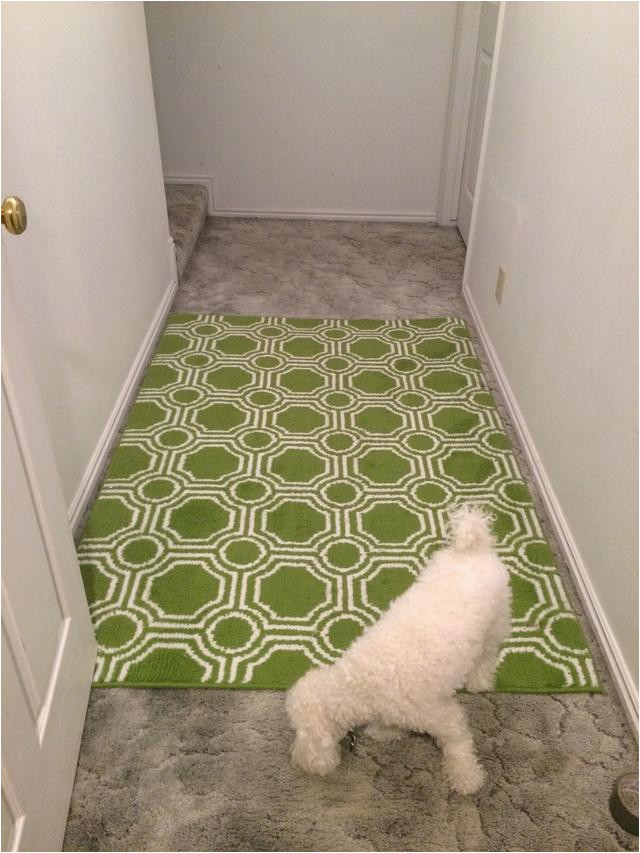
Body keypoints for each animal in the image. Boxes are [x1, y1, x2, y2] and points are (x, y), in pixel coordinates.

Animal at [285, 504, 511, 795]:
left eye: (298, 732)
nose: (296, 761)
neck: (359, 684)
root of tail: (475, 547)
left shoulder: (441, 715)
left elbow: (458, 744)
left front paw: (466, 777)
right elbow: (390, 724)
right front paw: (385, 731)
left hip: (495, 623)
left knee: (488, 656)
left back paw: (479, 680)